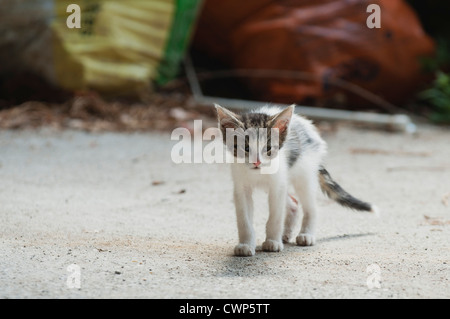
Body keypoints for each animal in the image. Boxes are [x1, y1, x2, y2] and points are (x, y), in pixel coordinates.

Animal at [214, 105, 376, 258]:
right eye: (246, 148)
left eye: (268, 148)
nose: (257, 162)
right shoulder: (241, 187)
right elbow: (244, 220)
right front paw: (246, 244)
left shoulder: (277, 185)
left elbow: (275, 216)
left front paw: (272, 242)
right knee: (293, 202)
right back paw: (285, 234)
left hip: (304, 174)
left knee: (311, 206)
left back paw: (306, 235)